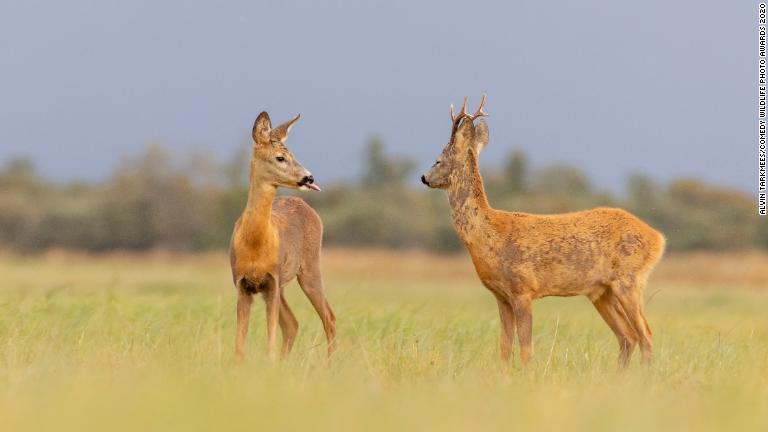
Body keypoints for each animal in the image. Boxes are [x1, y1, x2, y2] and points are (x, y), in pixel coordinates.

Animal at [230, 111, 334, 362]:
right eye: (280, 157)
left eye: (293, 155)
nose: (309, 178)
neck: (255, 244)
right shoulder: (242, 284)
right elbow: (239, 344)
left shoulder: (272, 281)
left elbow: (270, 340)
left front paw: (269, 363)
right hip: (285, 284)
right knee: (292, 324)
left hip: (310, 268)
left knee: (329, 318)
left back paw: (330, 364)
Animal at [420, 96, 664, 366]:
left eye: (438, 159)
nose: (424, 177)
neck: (488, 234)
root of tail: (657, 238)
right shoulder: (501, 296)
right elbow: (504, 348)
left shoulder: (523, 289)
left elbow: (526, 349)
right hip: (601, 292)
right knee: (628, 337)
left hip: (629, 280)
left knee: (646, 334)